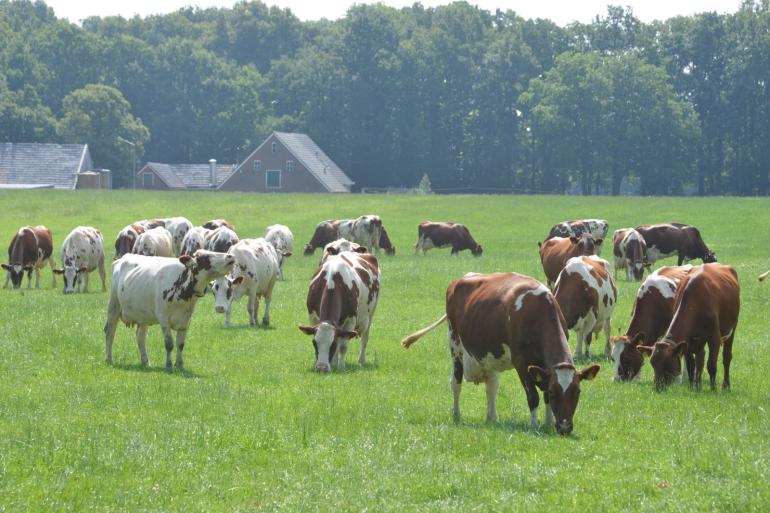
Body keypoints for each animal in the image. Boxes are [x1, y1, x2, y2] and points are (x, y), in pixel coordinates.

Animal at [103, 249, 234, 366]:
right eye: (205, 257)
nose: (230, 256)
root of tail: (121, 258)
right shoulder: (163, 318)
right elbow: (169, 343)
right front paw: (169, 364)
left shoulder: (186, 321)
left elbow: (180, 344)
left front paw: (179, 364)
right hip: (114, 305)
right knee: (110, 331)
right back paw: (109, 359)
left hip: (143, 315)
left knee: (141, 336)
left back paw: (145, 361)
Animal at [402, 270, 600, 434]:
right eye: (554, 391)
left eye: (577, 392)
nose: (565, 427)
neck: (538, 313)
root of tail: (461, 279)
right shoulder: (522, 363)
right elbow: (534, 396)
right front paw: (535, 425)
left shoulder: (543, 369)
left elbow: (543, 397)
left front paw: (548, 424)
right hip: (455, 346)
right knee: (455, 383)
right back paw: (457, 415)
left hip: (487, 359)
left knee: (491, 387)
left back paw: (492, 418)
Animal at [636, 262, 736, 390]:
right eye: (653, 363)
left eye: (667, 363)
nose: (658, 387)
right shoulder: (687, 341)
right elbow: (691, 365)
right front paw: (693, 388)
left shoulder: (714, 338)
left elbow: (711, 365)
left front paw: (713, 389)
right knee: (700, 359)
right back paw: (698, 384)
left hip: (732, 329)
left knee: (726, 357)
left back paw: (725, 386)